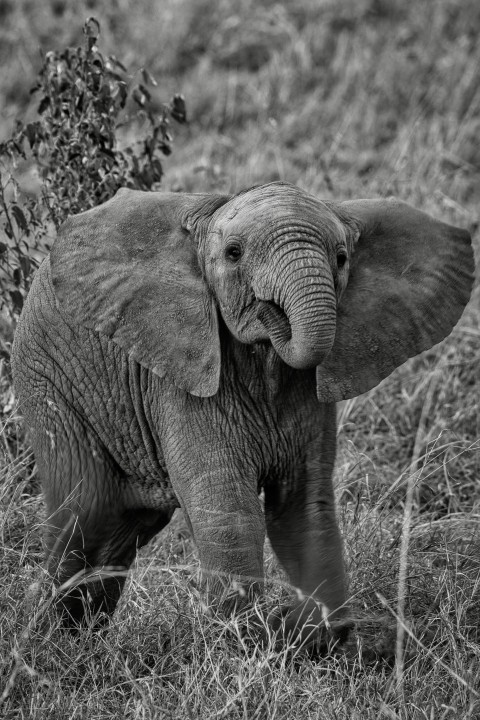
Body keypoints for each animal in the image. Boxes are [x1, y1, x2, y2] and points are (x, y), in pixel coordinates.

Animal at [12, 181, 473, 649]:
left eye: (342, 259)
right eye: (233, 254)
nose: (265, 307)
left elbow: (304, 507)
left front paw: (313, 636)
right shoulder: (180, 377)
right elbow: (228, 508)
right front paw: (243, 642)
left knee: (122, 529)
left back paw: (82, 638)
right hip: (47, 381)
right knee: (83, 512)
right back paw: (45, 639)